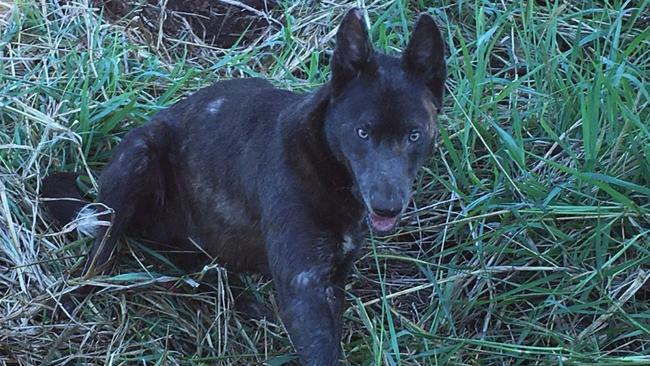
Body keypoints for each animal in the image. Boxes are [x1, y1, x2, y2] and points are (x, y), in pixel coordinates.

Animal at [41, 9, 446, 366]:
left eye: (415, 135)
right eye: (362, 132)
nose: (387, 207)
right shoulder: (303, 286)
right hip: (137, 160)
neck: (323, 161)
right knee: (98, 258)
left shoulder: (335, 278)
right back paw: (72, 300)